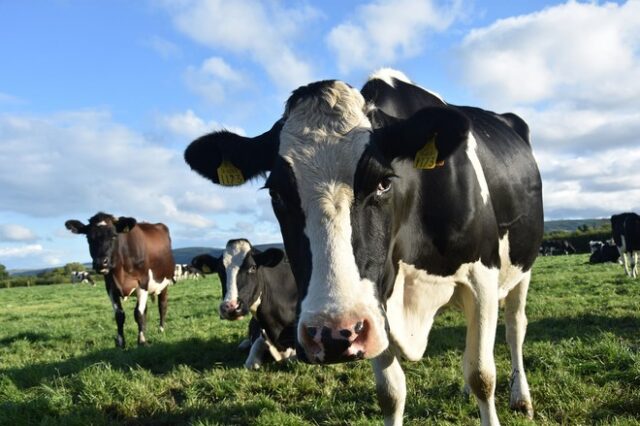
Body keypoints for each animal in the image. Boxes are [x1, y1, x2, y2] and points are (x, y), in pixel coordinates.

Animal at [65, 211, 175, 348]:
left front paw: (142, 341)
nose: (101, 263)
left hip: (164, 283)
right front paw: (121, 342)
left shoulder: (143, 283)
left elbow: (138, 313)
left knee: (162, 305)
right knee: (145, 310)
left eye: (113, 236)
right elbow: (120, 316)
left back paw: (161, 329)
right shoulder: (111, 288)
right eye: (88, 238)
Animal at [184, 68, 540, 424]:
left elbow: (482, 375)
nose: (331, 334)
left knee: (514, 327)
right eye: (276, 193)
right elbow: (391, 393)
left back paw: (521, 396)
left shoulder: (482, 277)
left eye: (383, 182)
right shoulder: (375, 303)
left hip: (521, 271)